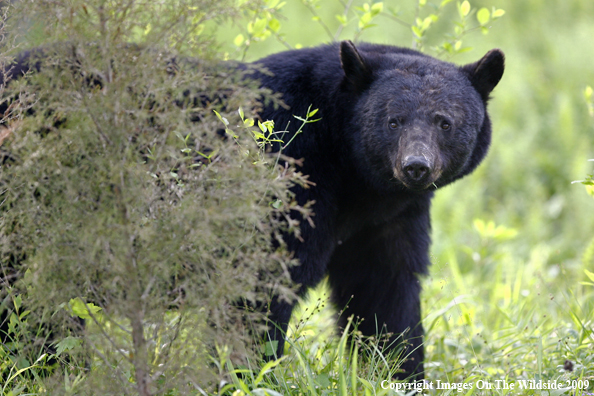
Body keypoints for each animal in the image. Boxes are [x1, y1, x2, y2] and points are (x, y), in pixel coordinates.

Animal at [1, 41, 504, 380]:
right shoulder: (288, 184)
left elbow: (384, 294)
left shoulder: (388, 218)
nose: (416, 166)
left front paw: (396, 372)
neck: (353, 177)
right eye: (393, 120)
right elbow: (255, 296)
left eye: (445, 122)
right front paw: (244, 376)